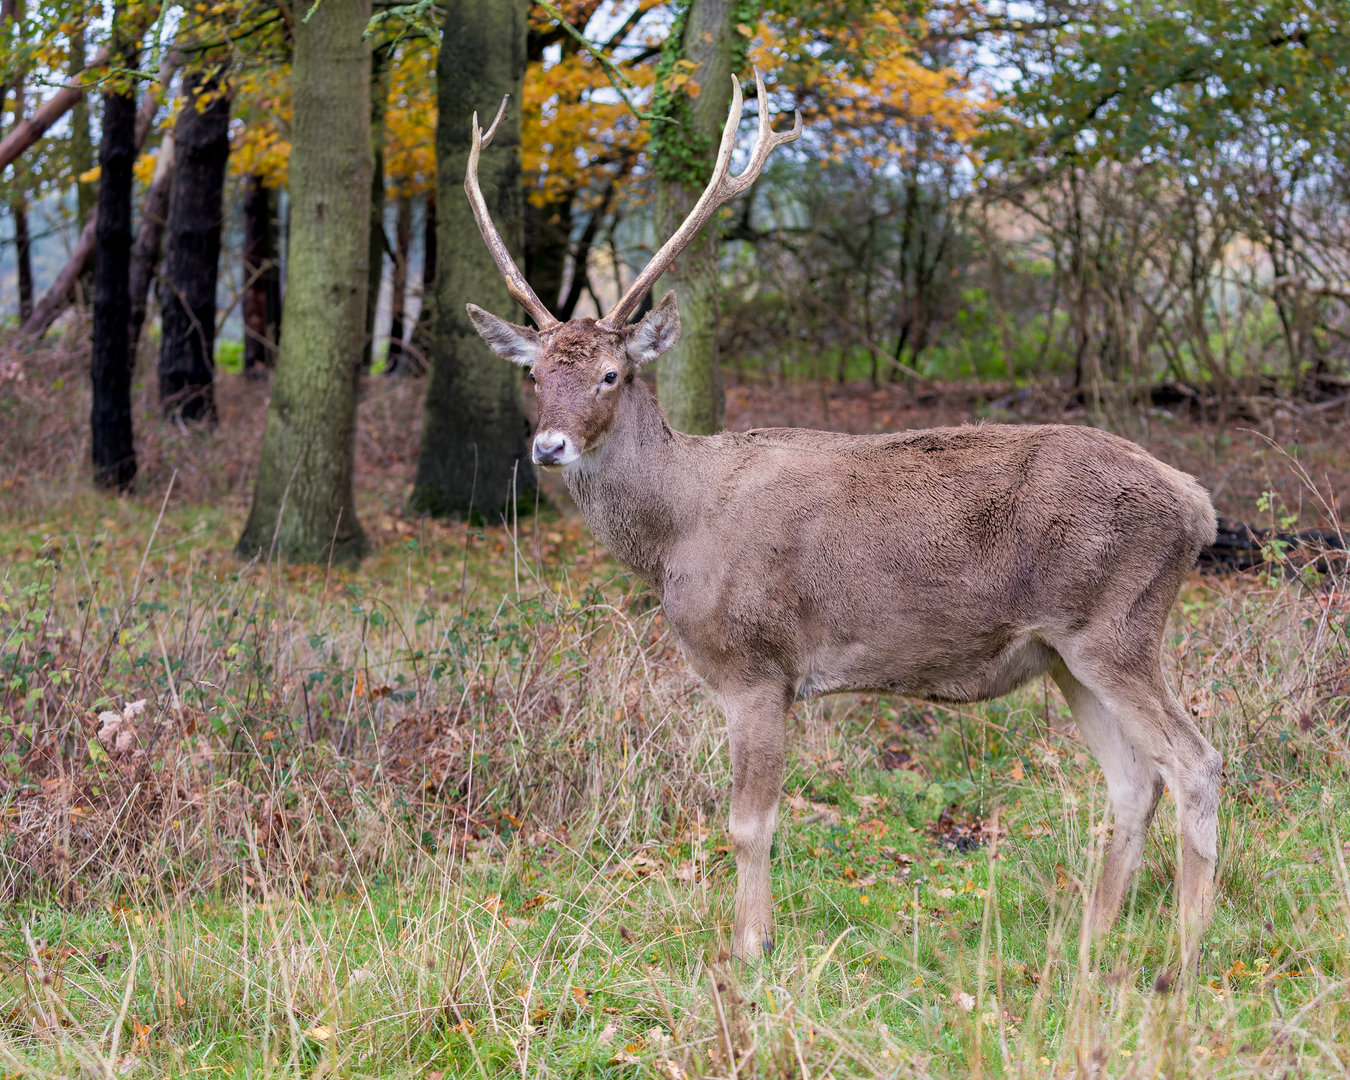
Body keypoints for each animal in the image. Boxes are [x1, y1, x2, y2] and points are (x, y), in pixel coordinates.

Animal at [462, 71, 1223, 962]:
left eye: (612, 374)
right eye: (536, 373)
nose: (548, 446)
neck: (677, 531)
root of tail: (1198, 507)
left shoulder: (757, 665)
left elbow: (749, 823)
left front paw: (749, 947)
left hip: (1117, 625)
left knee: (1195, 761)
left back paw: (1186, 946)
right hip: (1069, 652)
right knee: (1133, 779)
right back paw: (1091, 939)